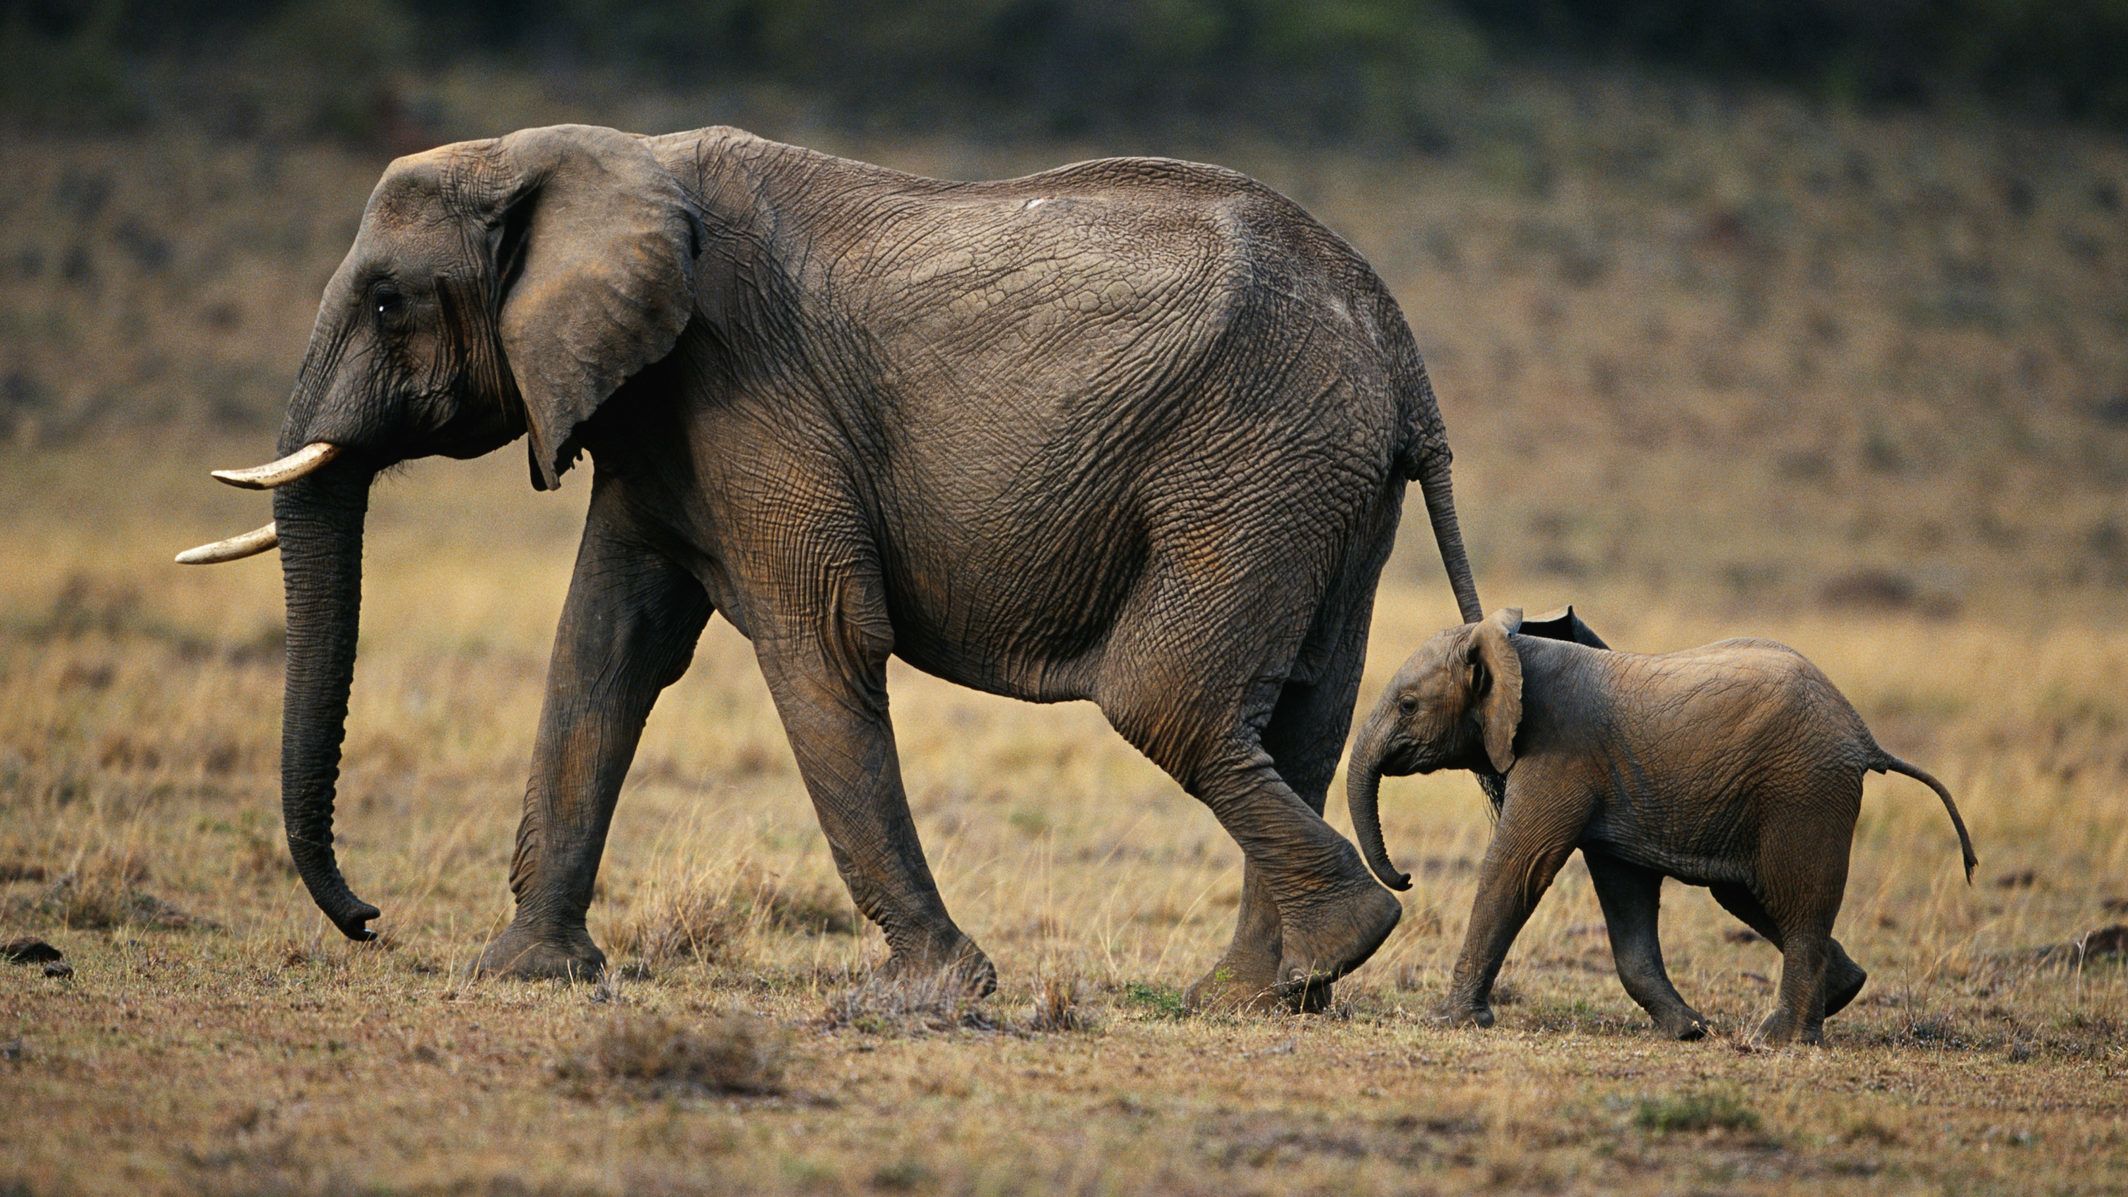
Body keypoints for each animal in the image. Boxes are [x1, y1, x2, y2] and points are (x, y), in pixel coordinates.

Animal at [178, 128, 1481, 1005]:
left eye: (388, 302)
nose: (367, 918)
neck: (578, 155)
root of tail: (1404, 351)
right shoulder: (655, 420)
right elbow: (603, 650)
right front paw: (525, 974)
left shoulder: (747, 387)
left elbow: (819, 641)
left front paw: (936, 995)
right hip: (1322, 482)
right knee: (1298, 716)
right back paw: (1263, 991)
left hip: (1255, 455)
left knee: (1167, 701)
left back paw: (1335, 943)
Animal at [1344, 600, 1974, 1039]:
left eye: (1407, 705)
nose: (1405, 878)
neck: (1512, 651)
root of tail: (1864, 735)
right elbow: (1625, 895)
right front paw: (1687, 1031)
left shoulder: (1560, 753)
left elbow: (1518, 867)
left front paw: (1451, 1021)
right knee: (1753, 895)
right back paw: (1842, 992)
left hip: (1803, 790)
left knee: (1795, 899)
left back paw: (1777, 1039)